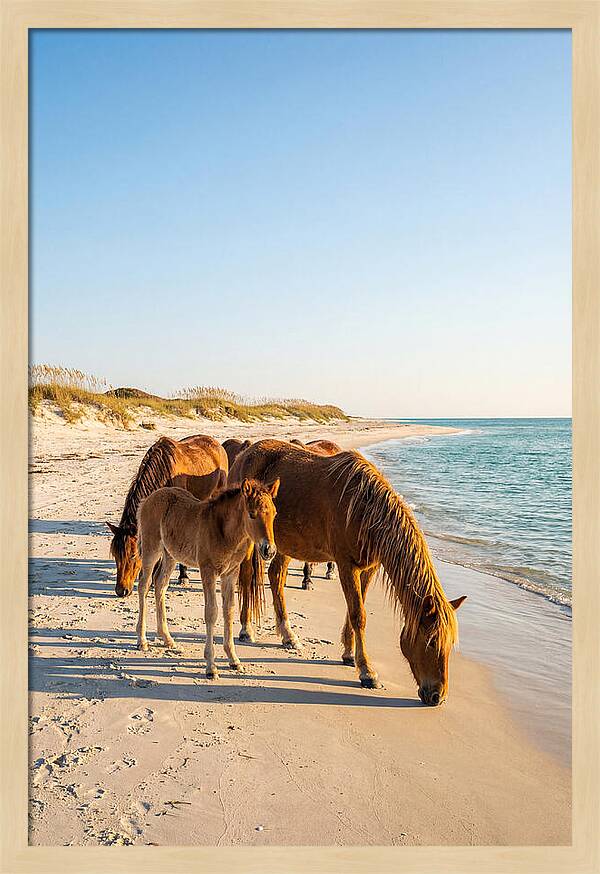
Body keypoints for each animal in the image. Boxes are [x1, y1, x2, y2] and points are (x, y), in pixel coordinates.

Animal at [107, 434, 228, 597]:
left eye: (132, 555)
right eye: (115, 555)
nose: (121, 591)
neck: (164, 472)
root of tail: (216, 444)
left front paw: (183, 576)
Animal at [135, 478, 279, 678]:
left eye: (274, 514)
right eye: (252, 514)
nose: (269, 550)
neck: (225, 532)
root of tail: (148, 499)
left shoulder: (230, 573)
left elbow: (229, 610)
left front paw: (234, 659)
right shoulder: (208, 571)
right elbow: (211, 612)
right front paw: (211, 666)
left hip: (170, 555)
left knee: (159, 585)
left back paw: (167, 638)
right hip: (151, 549)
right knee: (144, 584)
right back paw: (142, 640)